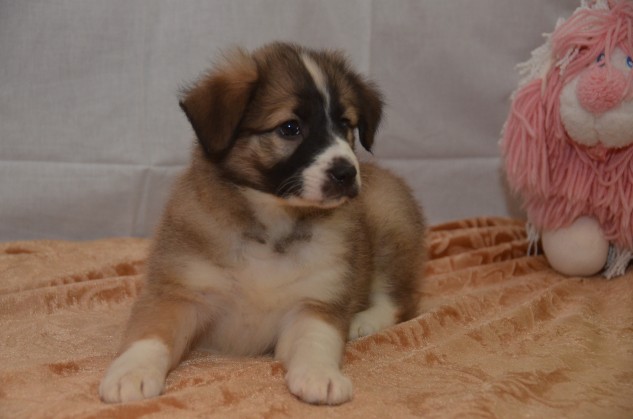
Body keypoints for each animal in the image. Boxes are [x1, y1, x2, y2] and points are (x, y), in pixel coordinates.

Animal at [99, 42, 427, 405]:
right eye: (290, 128)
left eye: (345, 124)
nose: (346, 173)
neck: (272, 222)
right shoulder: (178, 290)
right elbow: (150, 335)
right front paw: (132, 373)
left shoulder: (315, 300)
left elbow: (317, 339)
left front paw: (321, 375)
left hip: (390, 224)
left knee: (402, 300)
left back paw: (361, 321)